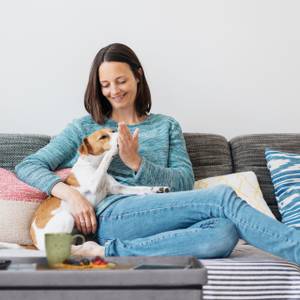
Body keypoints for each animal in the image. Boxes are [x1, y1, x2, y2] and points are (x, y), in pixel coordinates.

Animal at [30, 129, 171, 251]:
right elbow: (106, 159)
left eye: (112, 130)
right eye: (103, 137)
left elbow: (141, 188)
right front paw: (113, 148)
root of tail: (35, 242)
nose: (120, 132)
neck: (93, 165)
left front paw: (159, 189)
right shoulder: (93, 185)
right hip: (67, 218)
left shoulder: (118, 188)